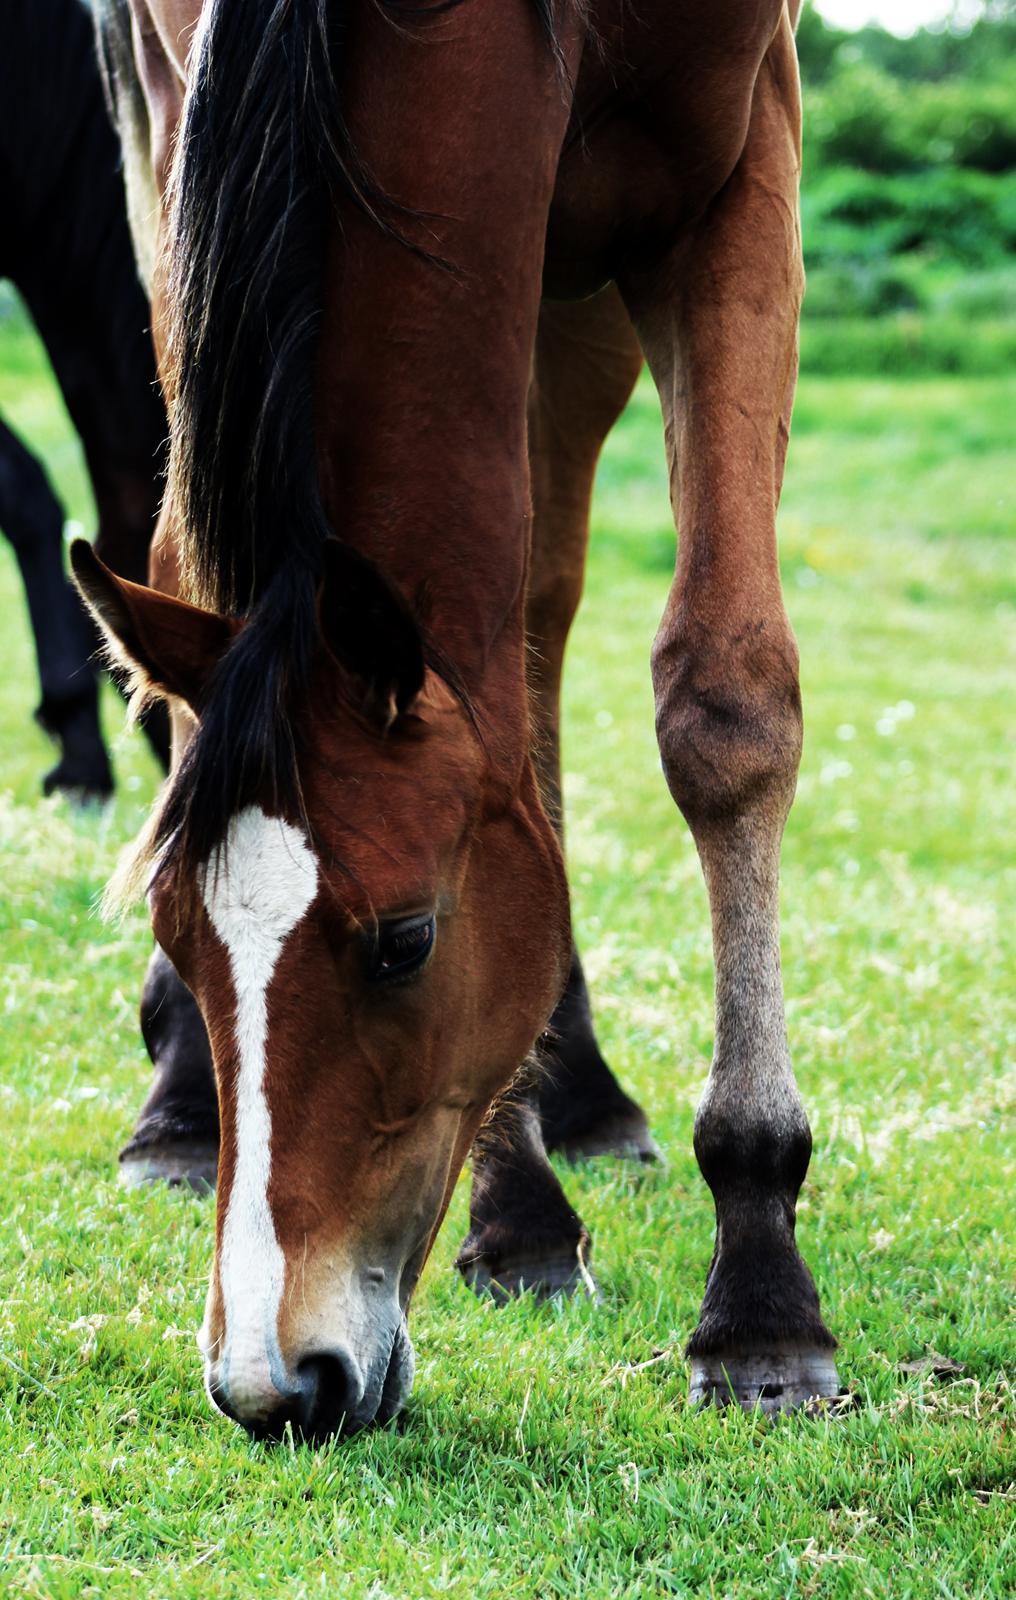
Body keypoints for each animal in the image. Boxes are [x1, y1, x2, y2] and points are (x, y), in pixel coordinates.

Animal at [73, 0, 844, 1440]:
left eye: (404, 943)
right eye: (176, 935)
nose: (274, 1381)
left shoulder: (735, 173)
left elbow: (724, 703)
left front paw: (762, 1291)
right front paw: (522, 1213)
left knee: (539, 626)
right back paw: (191, 1119)